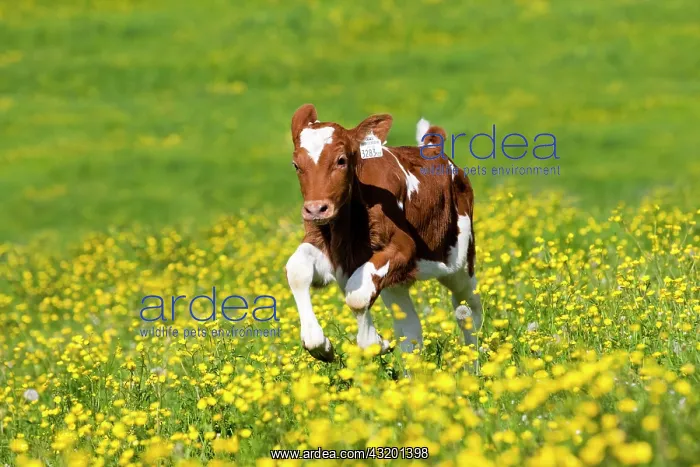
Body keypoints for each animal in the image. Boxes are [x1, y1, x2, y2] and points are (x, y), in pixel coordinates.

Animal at [284, 104, 483, 365]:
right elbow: (297, 271)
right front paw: (321, 345)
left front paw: (374, 342)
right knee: (410, 330)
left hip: (459, 263)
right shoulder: (325, 246)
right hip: (397, 282)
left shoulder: (403, 248)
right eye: (296, 165)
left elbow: (357, 296)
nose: (316, 208)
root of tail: (431, 148)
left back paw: (475, 363)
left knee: (468, 310)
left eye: (341, 160)